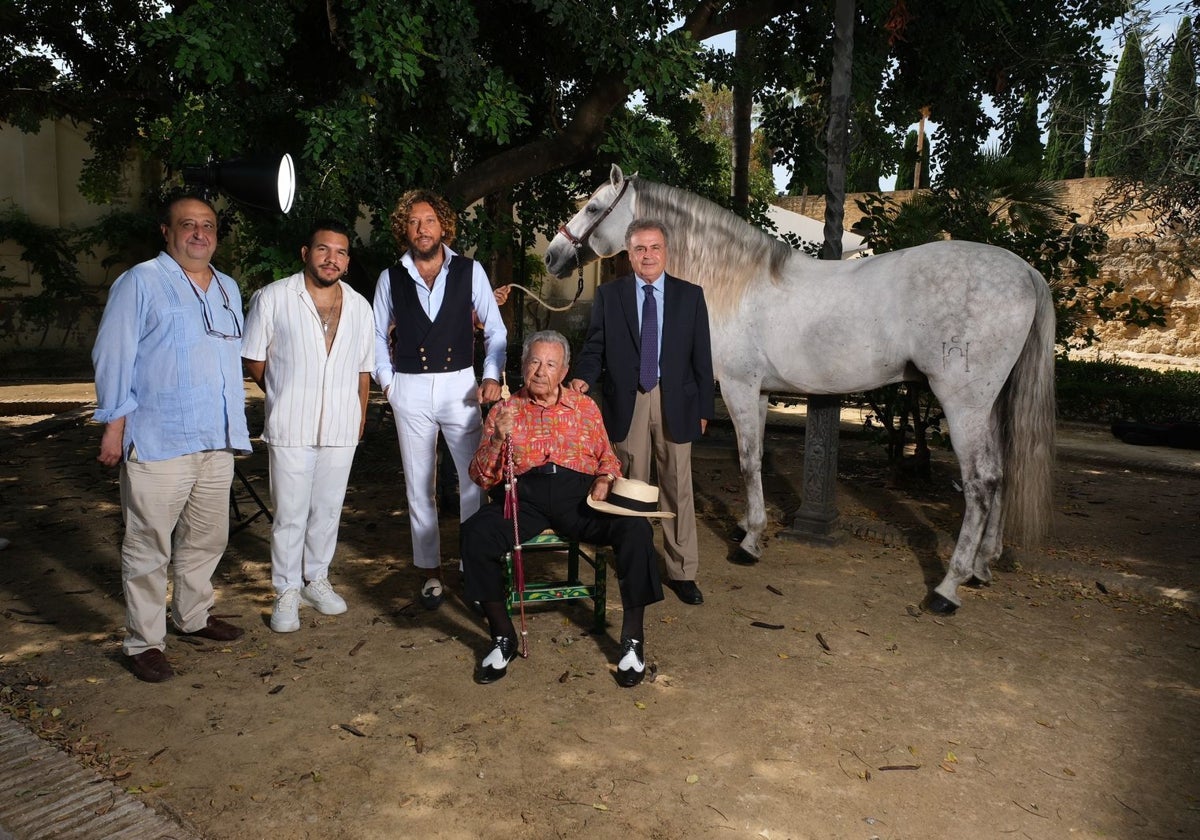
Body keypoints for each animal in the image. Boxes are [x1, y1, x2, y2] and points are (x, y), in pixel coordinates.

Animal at [540, 164, 1056, 614]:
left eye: (592, 207)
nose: (552, 256)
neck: (736, 282)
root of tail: (1027, 272)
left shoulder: (740, 387)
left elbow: (748, 460)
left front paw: (750, 543)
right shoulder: (760, 391)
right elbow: (754, 459)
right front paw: (748, 526)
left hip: (962, 404)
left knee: (980, 484)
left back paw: (949, 587)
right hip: (989, 404)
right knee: (1000, 474)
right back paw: (982, 568)